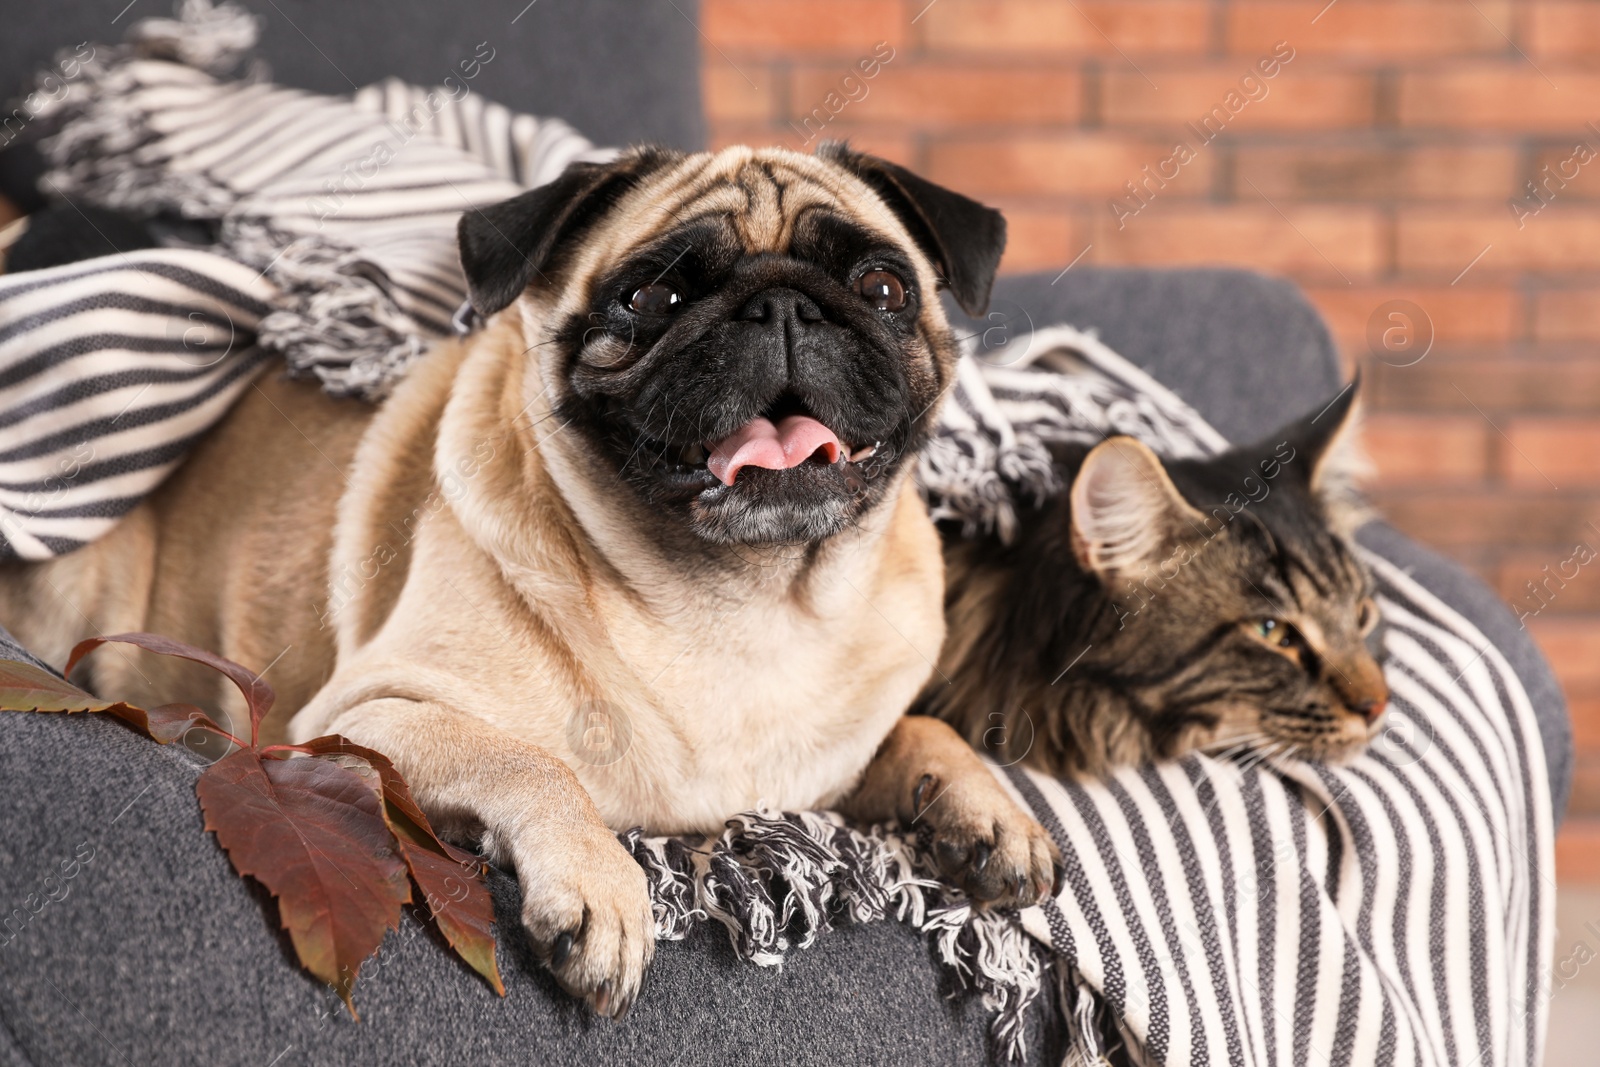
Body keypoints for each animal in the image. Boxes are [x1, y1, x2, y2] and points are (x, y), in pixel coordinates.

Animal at [3, 143, 1062, 1017]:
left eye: (881, 287)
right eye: (652, 299)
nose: (782, 304)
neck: (739, 599)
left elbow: (920, 729)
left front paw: (988, 814)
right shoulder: (351, 721)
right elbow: (529, 760)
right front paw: (601, 889)